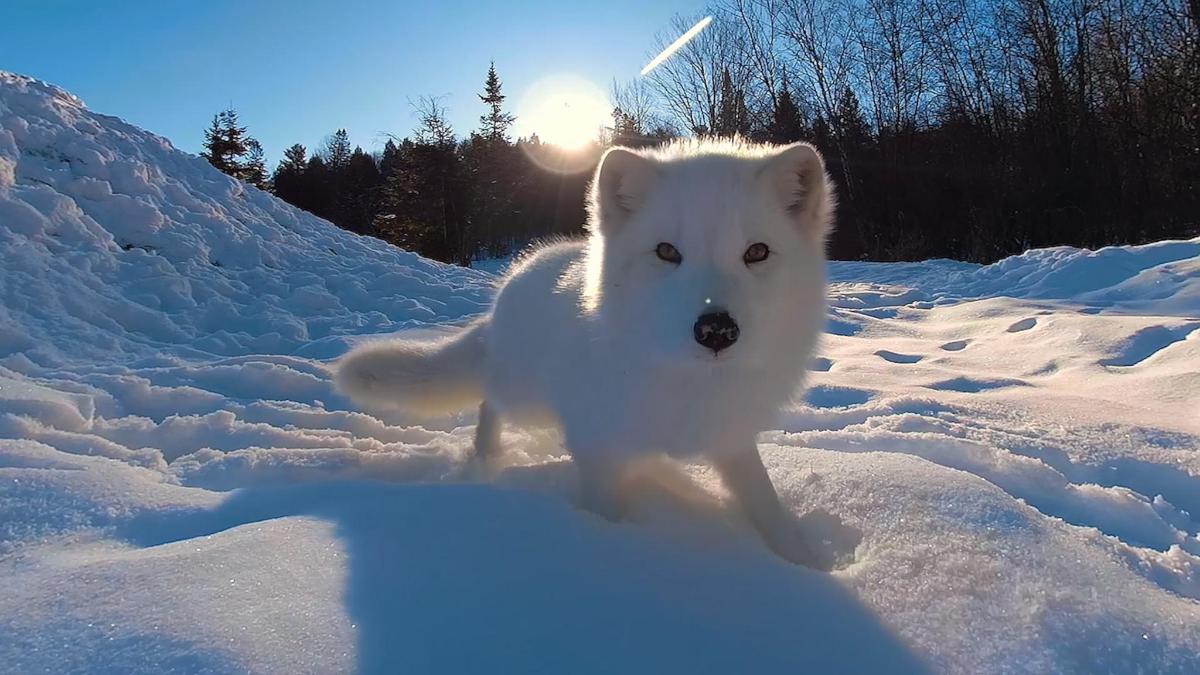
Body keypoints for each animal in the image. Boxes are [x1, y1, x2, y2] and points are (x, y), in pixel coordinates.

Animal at [333, 140, 849, 566]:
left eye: (757, 252)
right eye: (667, 252)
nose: (717, 330)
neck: (687, 383)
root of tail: (510, 284)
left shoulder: (730, 436)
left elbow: (765, 501)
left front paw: (803, 561)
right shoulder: (596, 446)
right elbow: (606, 507)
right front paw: (604, 548)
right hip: (524, 396)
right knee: (488, 401)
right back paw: (485, 458)